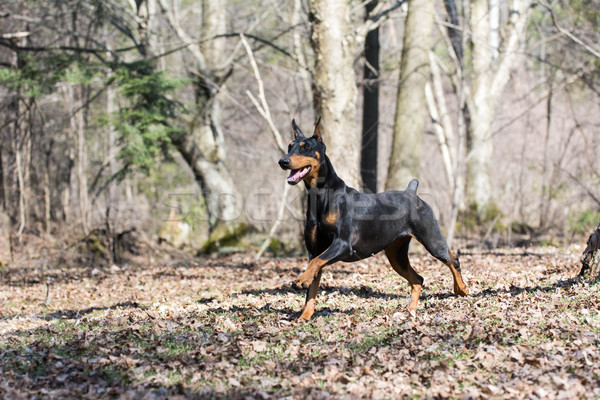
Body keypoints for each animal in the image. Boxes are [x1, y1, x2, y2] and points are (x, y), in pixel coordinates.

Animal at [276, 117, 468, 320]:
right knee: (418, 279)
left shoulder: (342, 244)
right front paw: (304, 316)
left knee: (452, 259)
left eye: (305, 147)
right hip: (396, 254)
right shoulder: (315, 249)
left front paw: (300, 280)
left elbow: (316, 263)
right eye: (290, 146)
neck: (320, 195)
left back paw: (461, 289)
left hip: (432, 239)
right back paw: (410, 311)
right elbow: (312, 283)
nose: (282, 161)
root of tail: (412, 192)